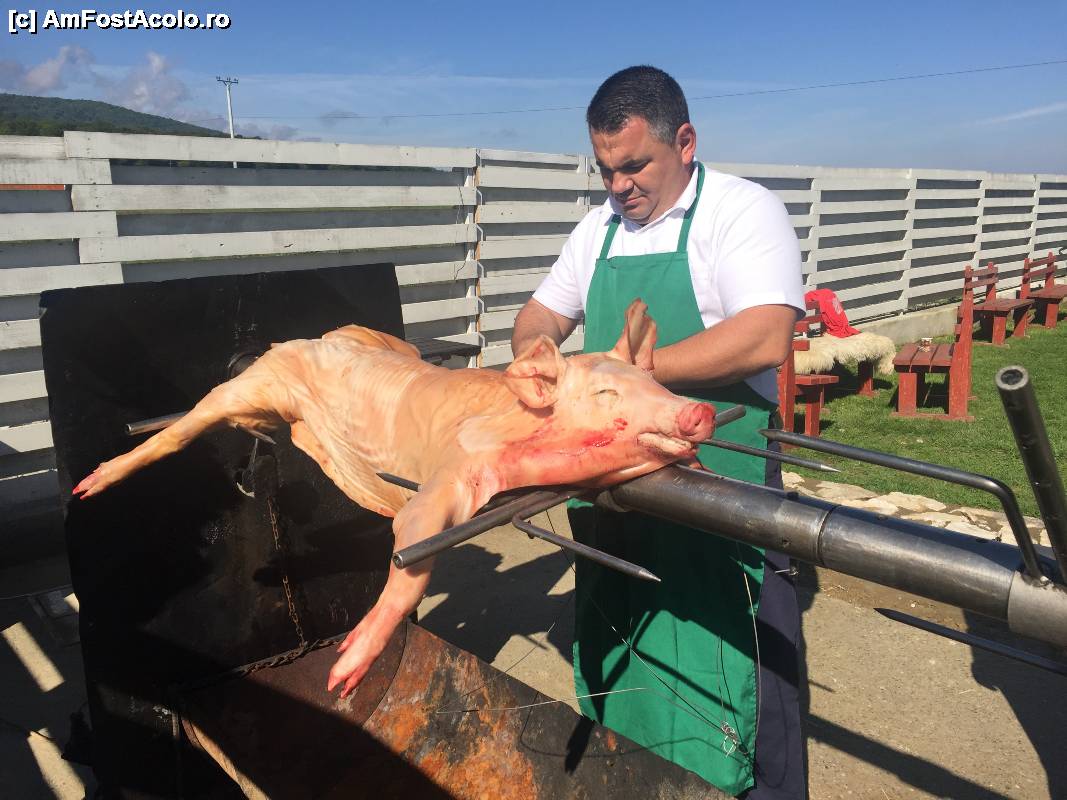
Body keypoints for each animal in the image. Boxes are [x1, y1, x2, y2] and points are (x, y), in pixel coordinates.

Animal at [72, 299, 715, 697]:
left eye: (655, 382)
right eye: (605, 393)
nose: (699, 410)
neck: (521, 428)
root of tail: (305, 337)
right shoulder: (451, 468)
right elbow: (413, 543)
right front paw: (341, 677)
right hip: (256, 381)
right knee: (185, 426)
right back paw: (87, 487)